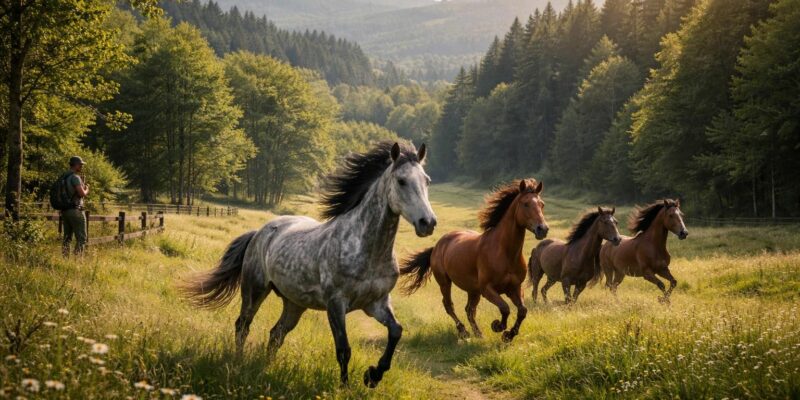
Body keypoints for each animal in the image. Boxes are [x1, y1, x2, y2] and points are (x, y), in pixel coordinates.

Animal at [180, 142, 437, 388]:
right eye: (401, 181)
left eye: (427, 180)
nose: (428, 223)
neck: (366, 249)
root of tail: (259, 232)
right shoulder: (336, 304)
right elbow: (343, 349)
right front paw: (345, 387)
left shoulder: (377, 303)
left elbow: (396, 332)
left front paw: (373, 375)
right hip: (254, 290)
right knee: (243, 325)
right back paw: (238, 362)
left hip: (294, 303)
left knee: (276, 334)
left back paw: (266, 367)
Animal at [399, 179, 548, 342]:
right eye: (525, 204)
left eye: (542, 204)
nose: (543, 229)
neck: (504, 253)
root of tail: (437, 246)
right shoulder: (487, 289)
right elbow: (505, 308)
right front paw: (498, 326)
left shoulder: (514, 288)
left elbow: (522, 311)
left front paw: (509, 335)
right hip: (445, 283)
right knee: (449, 305)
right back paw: (463, 331)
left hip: (473, 290)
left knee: (469, 310)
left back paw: (478, 333)